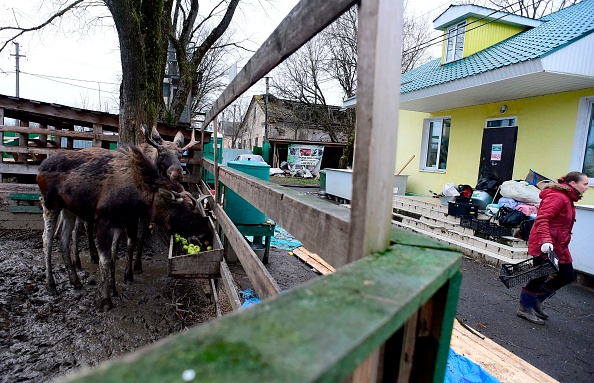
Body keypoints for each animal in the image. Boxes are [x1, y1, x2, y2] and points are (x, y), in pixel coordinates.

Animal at [37, 146, 210, 310]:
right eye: (190, 210)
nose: (206, 235)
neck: (143, 199)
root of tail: (40, 168)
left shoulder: (121, 223)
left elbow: (115, 255)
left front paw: (114, 288)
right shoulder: (104, 221)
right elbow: (105, 260)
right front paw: (105, 299)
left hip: (69, 210)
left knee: (64, 239)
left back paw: (75, 280)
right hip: (51, 204)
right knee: (47, 239)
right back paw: (51, 284)